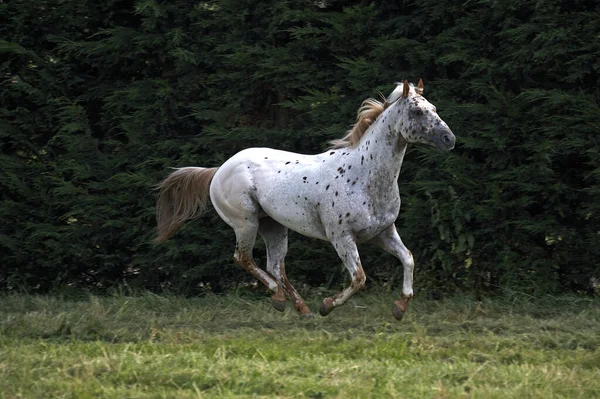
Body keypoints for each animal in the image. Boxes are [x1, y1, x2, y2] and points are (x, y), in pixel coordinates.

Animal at [155, 79, 454, 320]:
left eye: (434, 108)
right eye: (417, 111)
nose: (449, 139)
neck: (362, 175)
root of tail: (218, 170)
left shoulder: (383, 233)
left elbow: (408, 258)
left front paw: (400, 308)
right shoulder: (342, 237)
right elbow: (359, 278)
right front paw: (327, 306)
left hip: (273, 226)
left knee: (275, 266)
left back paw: (302, 310)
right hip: (245, 223)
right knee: (244, 258)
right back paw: (280, 298)